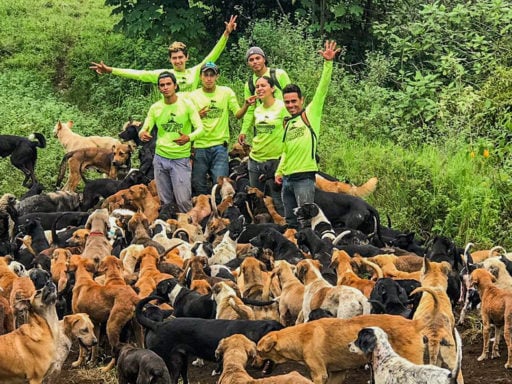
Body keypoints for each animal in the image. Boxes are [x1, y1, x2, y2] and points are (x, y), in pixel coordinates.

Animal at [256, 316, 424, 384]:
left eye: (258, 352)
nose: (252, 363)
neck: (301, 337)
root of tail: (414, 323)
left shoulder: (319, 375)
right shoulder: (337, 373)